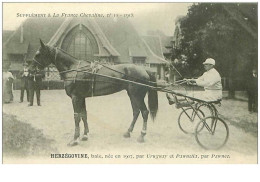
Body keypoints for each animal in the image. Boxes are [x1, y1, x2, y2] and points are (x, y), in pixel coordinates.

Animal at [28, 39, 158, 146]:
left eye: (38, 54)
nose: (30, 70)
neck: (73, 69)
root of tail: (144, 69)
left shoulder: (75, 97)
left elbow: (76, 116)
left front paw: (75, 139)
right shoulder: (81, 97)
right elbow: (84, 114)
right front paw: (85, 135)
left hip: (137, 96)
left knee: (144, 112)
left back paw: (142, 135)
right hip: (132, 95)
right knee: (136, 112)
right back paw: (128, 132)